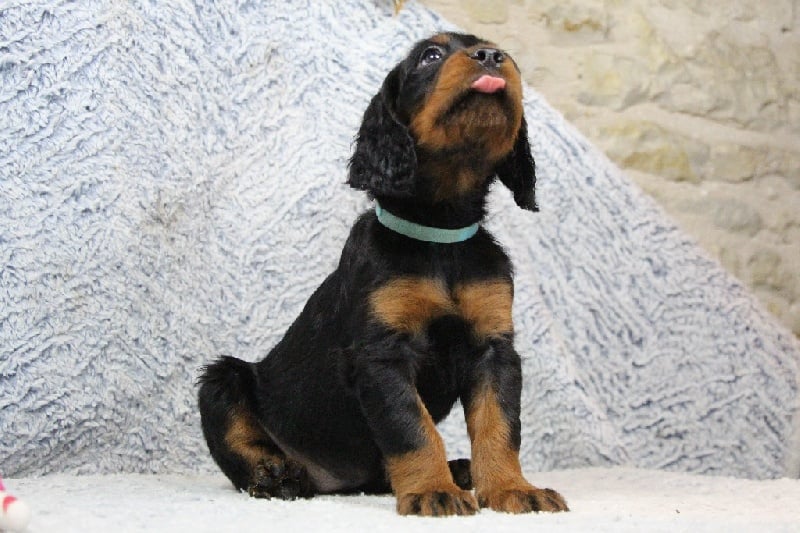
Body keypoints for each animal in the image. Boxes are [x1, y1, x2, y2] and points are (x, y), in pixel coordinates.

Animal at [198, 32, 568, 517]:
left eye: (500, 51)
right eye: (430, 55)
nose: (491, 57)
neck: (440, 233)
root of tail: (333, 480)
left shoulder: (493, 349)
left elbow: (499, 425)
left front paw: (512, 488)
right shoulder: (382, 354)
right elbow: (411, 427)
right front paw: (433, 491)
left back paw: (459, 469)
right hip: (221, 380)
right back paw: (275, 474)